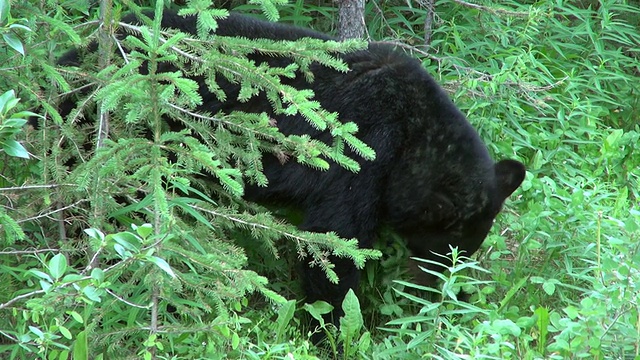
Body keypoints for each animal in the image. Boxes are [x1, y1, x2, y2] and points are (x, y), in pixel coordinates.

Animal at [50, 10, 524, 326]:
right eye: (445, 252)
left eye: (465, 252)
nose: (438, 297)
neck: (414, 138)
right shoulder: (363, 152)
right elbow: (334, 242)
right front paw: (334, 327)